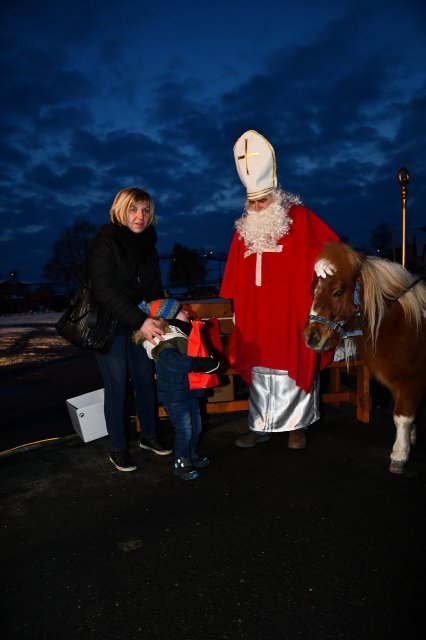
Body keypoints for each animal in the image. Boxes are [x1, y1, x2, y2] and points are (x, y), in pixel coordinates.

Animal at [302, 242, 426, 472]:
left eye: (338, 292)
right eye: (314, 291)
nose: (311, 337)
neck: (405, 324)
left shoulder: (410, 381)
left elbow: (402, 417)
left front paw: (399, 454)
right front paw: (411, 438)